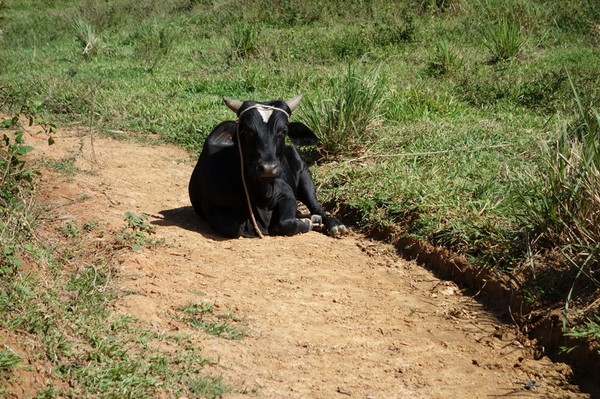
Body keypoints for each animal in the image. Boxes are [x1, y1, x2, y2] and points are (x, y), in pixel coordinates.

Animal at [188, 95, 346, 239]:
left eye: (283, 131)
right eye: (247, 131)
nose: (268, 168)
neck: (261, 195)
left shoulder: (286, 193)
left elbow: (285, 223)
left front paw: (307, 223)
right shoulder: (212, 208)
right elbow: (234, 228)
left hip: (305, 175)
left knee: (316, 207)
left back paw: (334, 224)